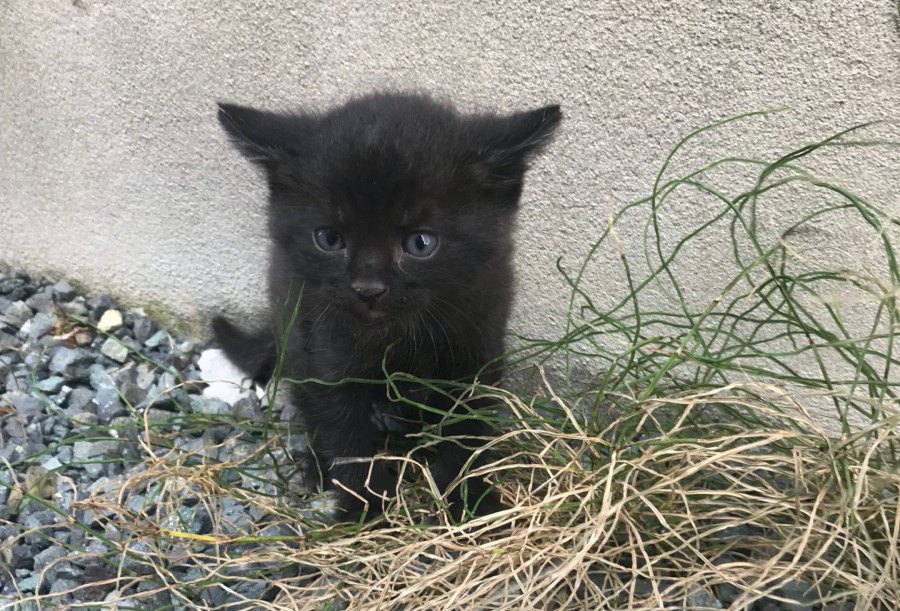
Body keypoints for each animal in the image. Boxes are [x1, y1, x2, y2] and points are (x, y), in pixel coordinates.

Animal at [214, 92, 560, 520]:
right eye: (329, 238)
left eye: (420, 243)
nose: (368, 289)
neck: (397, 336)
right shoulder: (326, 352)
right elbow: (347, 437)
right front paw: (364, 511)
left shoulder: (477, 345)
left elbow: (466, 431)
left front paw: (470, 502)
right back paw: (317, 467)